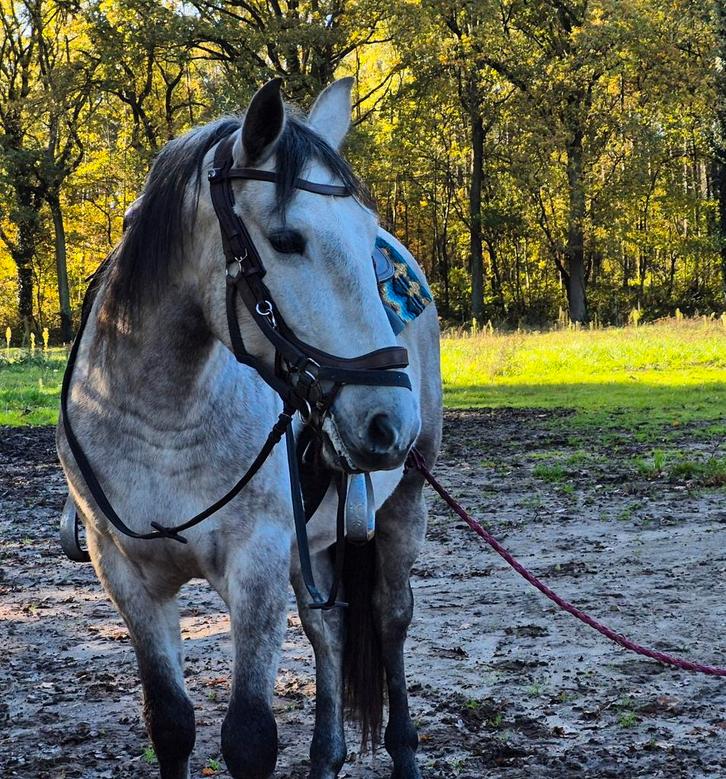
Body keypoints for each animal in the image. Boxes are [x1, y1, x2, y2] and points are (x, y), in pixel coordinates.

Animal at [56, 77, 442, 779]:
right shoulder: (125, 573)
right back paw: (326, 757)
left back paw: (402, 750)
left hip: (403, 503)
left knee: (390, 619)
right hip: (313, 541)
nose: (389, 421)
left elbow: (250, 738)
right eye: (287, 240)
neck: (161, 420)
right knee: (329, 631)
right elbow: (171, 724)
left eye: (366, 236)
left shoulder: (256, 563)